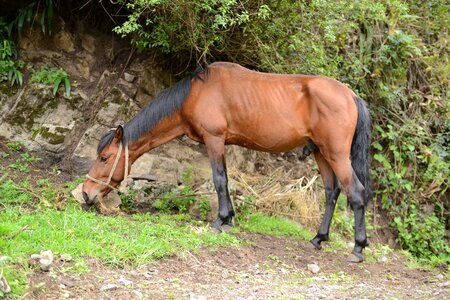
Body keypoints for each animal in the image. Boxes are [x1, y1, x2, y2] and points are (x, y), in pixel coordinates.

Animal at [82, 61, 370, 262]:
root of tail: (351, 95)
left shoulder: (214, 140)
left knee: (355, 192)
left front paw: (219, 221)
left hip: (336, 154)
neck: (196, 92)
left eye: (104, 157)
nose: (86, 193)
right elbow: (227, 181)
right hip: (321, 153)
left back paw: (358, 248)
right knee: (332, 192)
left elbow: (219, 179)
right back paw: (319, 238)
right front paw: (230, 219)